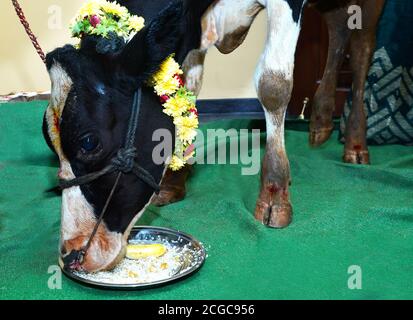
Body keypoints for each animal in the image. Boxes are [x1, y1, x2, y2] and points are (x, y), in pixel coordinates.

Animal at [41, 0, 380, 272]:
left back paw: (355, 143)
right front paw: (175, 180)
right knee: (339, 28)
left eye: (88, 142)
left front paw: (274, 195)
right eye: (48, 137)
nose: (71, 254)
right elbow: (187, 87)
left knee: (362, 47)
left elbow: (274, 84)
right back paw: (320, 121)